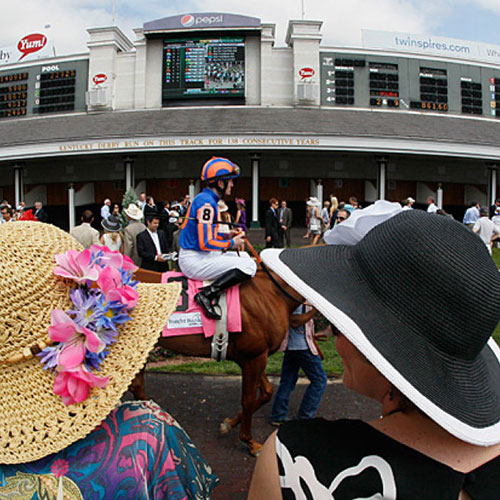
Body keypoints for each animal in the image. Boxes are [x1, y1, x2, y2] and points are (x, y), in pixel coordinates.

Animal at [131, 268, 314, 456]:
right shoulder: (253, 357)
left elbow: (267, 392)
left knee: (137, 386)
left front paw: (229, 424)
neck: (271, 293)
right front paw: (250, 442)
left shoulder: (255, 357)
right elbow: (248, 399)